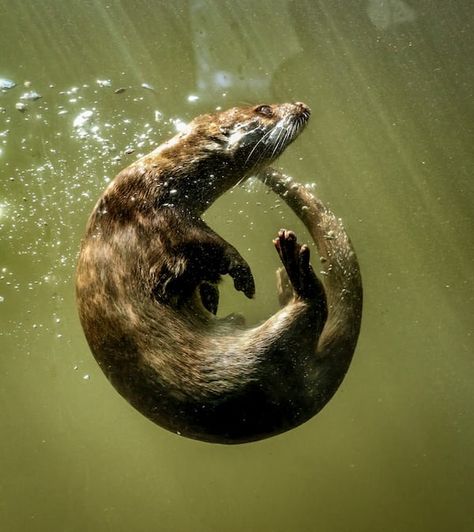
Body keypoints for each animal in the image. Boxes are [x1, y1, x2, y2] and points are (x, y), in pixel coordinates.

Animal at [75, 102, 362, 442]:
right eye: (264, 109)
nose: (301, 105)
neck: (159, 179)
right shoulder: (163, 219)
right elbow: (211, 247)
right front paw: (242, 276)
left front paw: (210, 295)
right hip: (254, 364)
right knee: (310, 307)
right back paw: (294, 265)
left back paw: (286, 282)